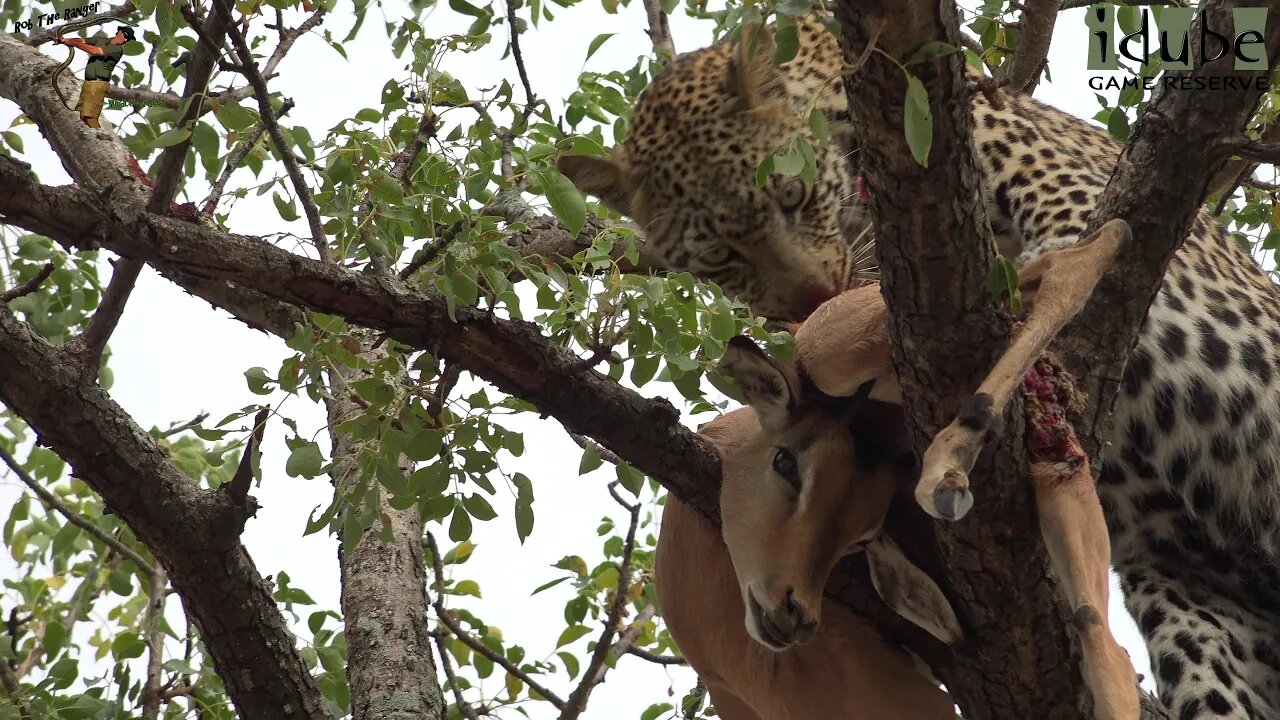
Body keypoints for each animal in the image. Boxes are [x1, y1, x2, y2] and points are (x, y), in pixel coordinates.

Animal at [563, 12, 1280, 717]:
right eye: (717, 259)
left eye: (791, 194)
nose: (812, 293)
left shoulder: (1073, 200)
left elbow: (1076, 265)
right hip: (1197, 622)